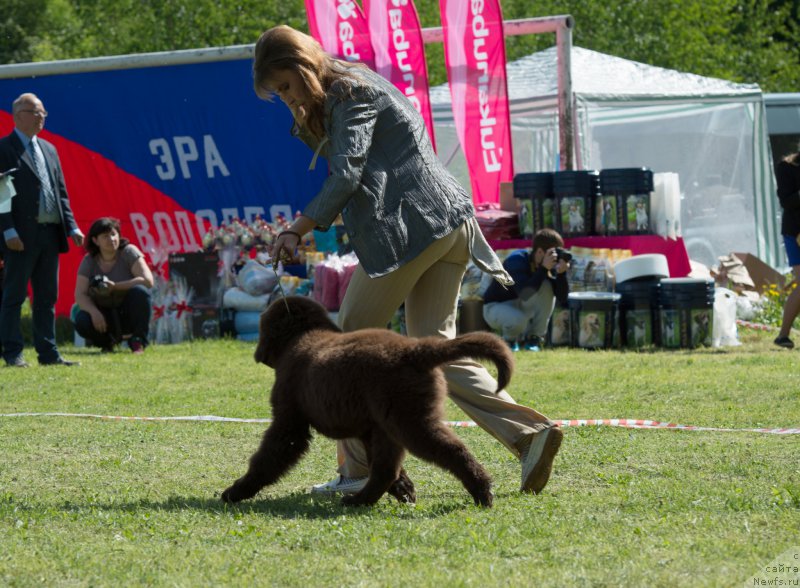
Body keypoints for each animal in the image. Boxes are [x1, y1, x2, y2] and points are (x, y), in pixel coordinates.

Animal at [222, 296, 516, 508]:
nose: (257, 353)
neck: (302, 336)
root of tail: (416, 350)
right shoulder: (368, 429)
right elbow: (387, 467)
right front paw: (405, 489)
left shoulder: (290, 419)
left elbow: (270, 455)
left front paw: (237, 490)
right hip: (390, 424)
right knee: (386, 469)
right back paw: (361, 500)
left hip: (409, 419)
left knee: (451, 450)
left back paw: (482, 491)